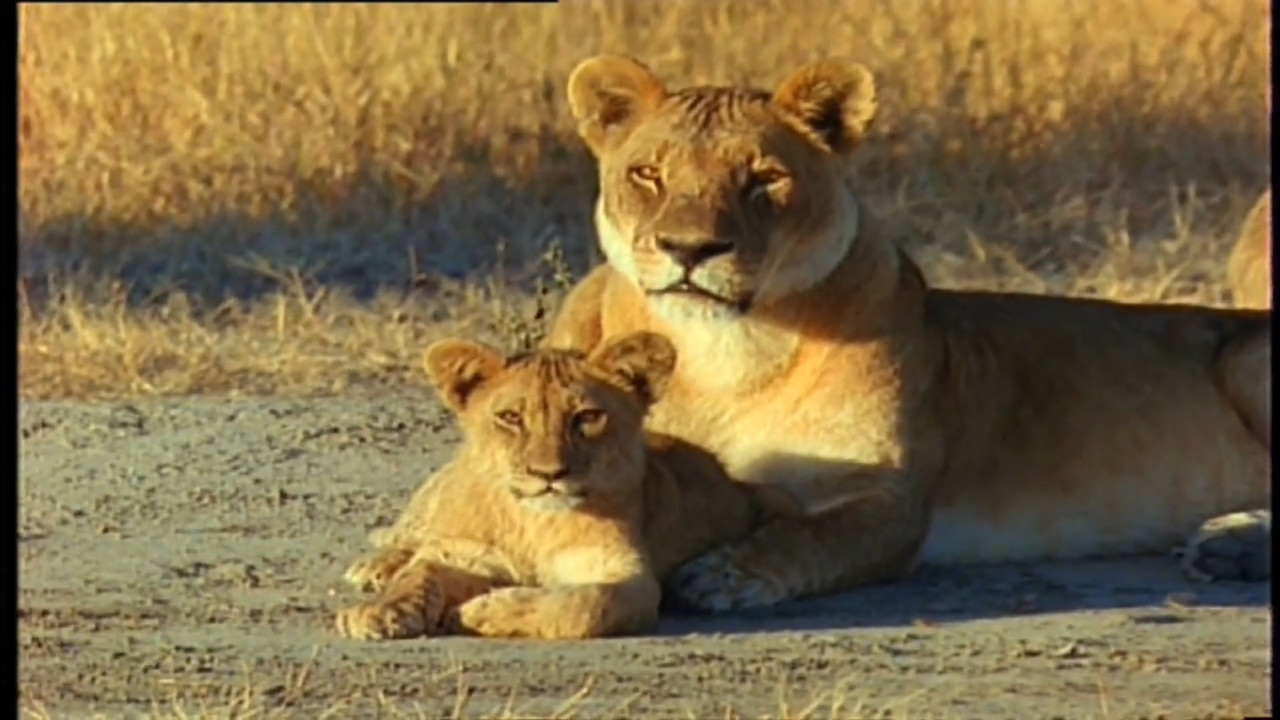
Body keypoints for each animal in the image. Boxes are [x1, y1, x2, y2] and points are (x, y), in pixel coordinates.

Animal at [334, 331, 799, 640]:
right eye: (511, 417)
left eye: (587, 417)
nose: (548, 474)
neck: (531, 523)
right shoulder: (465, 554)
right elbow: (420, 572)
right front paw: (378, 612)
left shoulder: (626, 574)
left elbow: (584, 606)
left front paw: (481, 612)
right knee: (411, 535)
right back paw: (377, 566)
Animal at [531, 53, 1271, 612]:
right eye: (647, 174)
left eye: (765, 178)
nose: (690, 249)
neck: (725, 354)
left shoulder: (892, 500)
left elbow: (810, 537)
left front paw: (725, 574)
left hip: (1247, 359)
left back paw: (1229, 545)